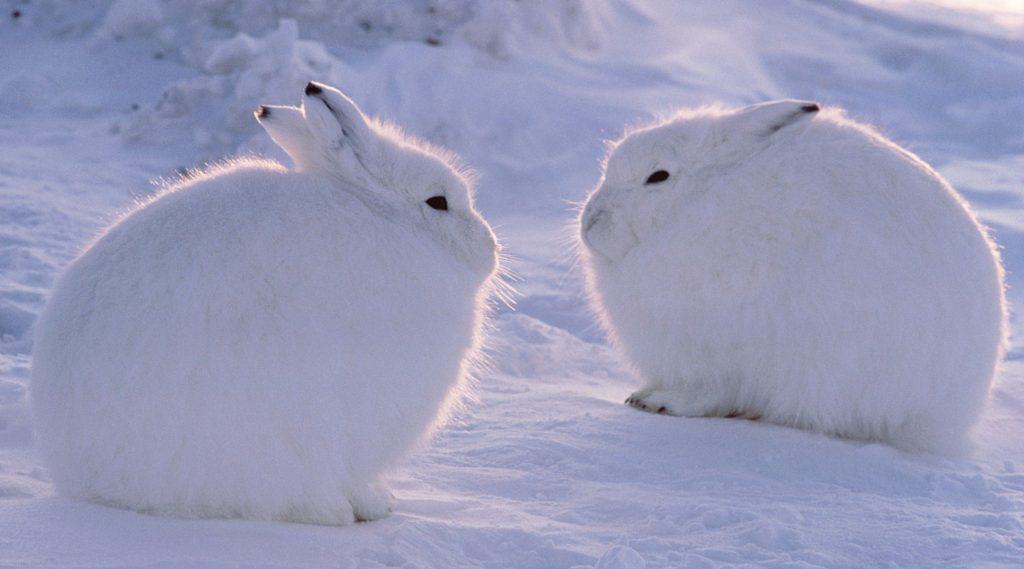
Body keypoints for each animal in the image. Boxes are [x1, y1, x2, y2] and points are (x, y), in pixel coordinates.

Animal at [31, 81, 501, 524]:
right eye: (438, 202)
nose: (492, 248)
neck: (383, 217)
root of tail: (95, 481)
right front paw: (375, 504)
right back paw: (334, 510)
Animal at [578, 100, 1007, 454]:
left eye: (659, 176)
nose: (589, 223)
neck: (693, 203)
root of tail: (951, 414)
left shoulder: (717, 347)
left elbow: (709, 390)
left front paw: (654, 400)